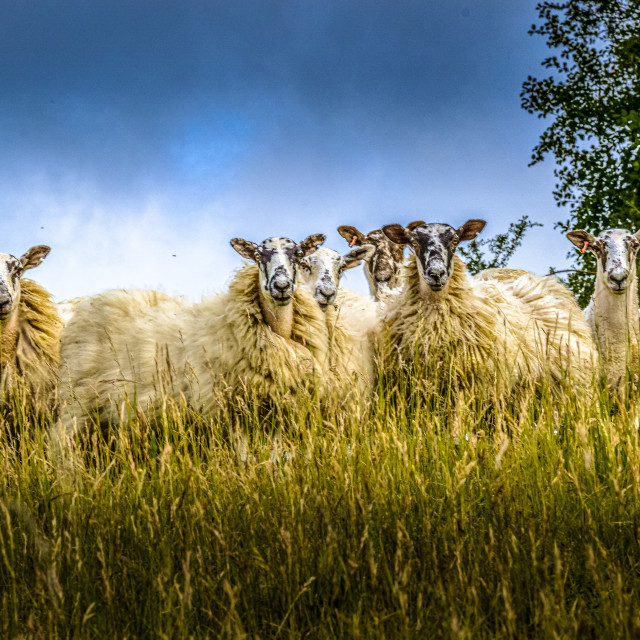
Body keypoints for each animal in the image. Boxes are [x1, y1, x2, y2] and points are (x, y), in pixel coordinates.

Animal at [57, 234, 372, 450]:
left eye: (296, 255)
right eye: (258, 256)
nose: (281, 286)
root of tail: (93, 302)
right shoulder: (236, 418)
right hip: (75, 413)